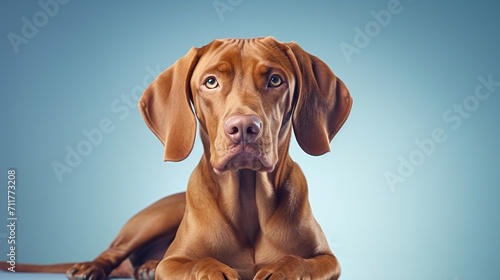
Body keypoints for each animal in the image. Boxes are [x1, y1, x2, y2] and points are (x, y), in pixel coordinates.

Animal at [1, 36, 352, 278]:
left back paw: (145, 266)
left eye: (275, 79)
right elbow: (201, 262)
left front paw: (279, 269)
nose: (243, 128)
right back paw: (93, 266)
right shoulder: (174, 263)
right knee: (114, 251)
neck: (248, 200)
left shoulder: (327, 259)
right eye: (210, 82)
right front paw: (218, 270)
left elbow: (298, 261)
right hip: (153, 220)